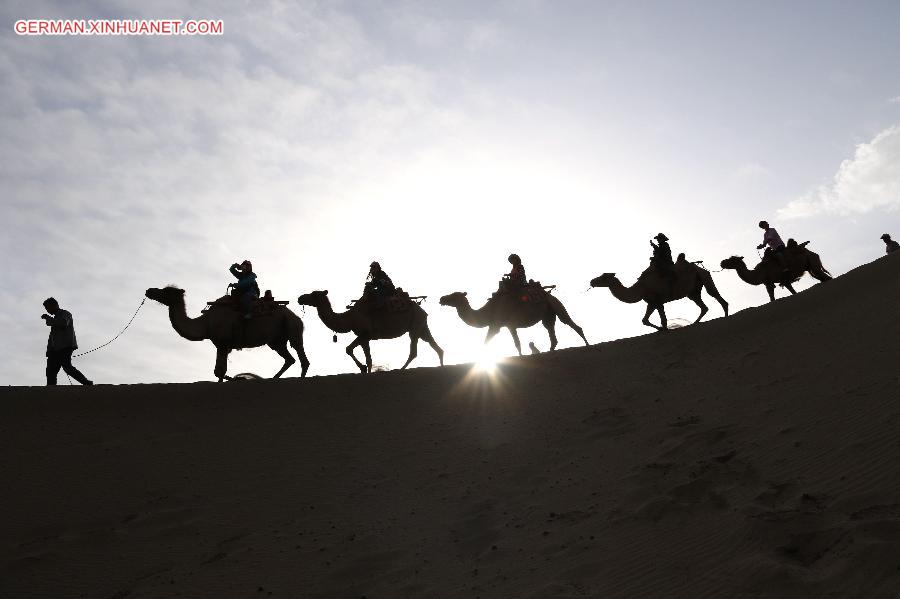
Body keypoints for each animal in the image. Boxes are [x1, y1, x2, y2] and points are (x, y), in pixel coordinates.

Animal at [147, 288, 310, 382]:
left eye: (167, 290)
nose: (149, 290)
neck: (206, 323)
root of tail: (297, 317)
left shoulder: (223, 343)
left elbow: (219, 371)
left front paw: (241, 378)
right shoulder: (224, 346)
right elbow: (218, 371)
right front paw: (241, 378)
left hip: (292, 328)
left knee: (301, 356)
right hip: (276, 341)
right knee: (289, 359)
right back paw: (271, 378)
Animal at [296, 292, 442, 376]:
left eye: (314, 294)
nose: (300, 298)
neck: (349, 318)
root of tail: (423, 311)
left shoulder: (366, 334)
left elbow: (348, 349)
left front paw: (362, 368)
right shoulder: (365, 338)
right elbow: (368, 358)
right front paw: (365, 369)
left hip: (415, 326)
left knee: (414, 351)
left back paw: (400, 369)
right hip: (421, 327)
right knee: (434, 345)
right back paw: (441, 366)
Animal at [438, 290, 592, 356]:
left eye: (454, 295)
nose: (442, 298)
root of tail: (550, 295)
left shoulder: (499, 325)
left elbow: (488, 341)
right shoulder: (507, 325)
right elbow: (516, 343)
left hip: (556, 306)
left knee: (572, 324)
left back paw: (587, 345)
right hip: (547, 315)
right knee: (551, 332)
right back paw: (550, 351)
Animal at [592, 260, 732, 330]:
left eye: (604, 277)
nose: (592, 282)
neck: (641, 288)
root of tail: (699, 267)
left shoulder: (658, 300)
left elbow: (663, 321)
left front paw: (664, 329)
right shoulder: (652, 302)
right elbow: (645, 320)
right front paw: (661, 329)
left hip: (704, 277)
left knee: (715, 295)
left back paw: (725, 316)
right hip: (693, 291)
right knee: (703, 306)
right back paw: (695, 323)